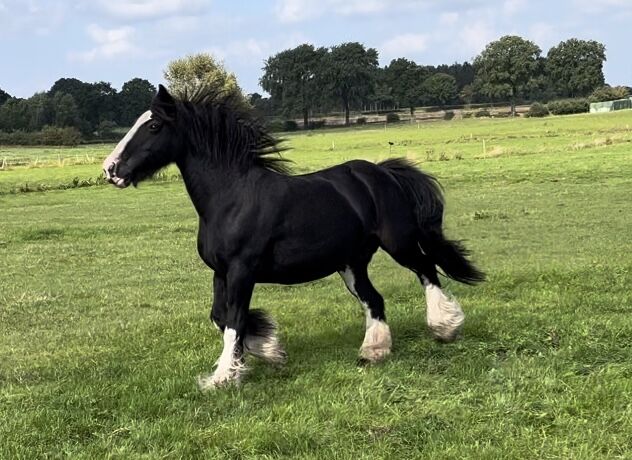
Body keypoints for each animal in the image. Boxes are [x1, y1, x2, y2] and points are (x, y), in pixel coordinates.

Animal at [102, 85, 484, 388]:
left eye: (153, 126)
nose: (111, 169)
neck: (231, 198)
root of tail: (383, 173)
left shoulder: (242, 271)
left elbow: (234, 319)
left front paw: (225, 377)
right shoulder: (221, 272)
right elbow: (219, 316)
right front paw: (270, 351)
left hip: (399, 244)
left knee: (427, 270)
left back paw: (445, 328)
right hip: (351, 263)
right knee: (374, 300)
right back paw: (372, 352)